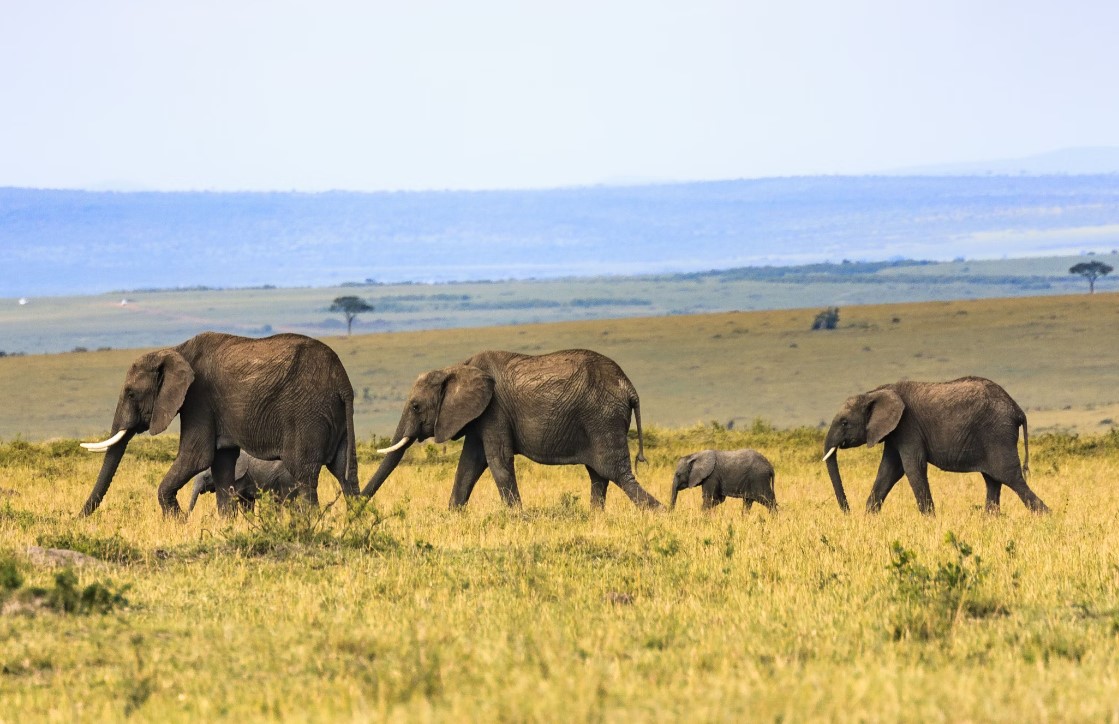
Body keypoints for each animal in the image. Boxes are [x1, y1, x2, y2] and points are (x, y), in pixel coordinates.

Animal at [78, 331, 358, 519]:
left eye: (131, 393)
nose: (78, 518)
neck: (175, 350)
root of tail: (342, 381)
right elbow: (222, 464)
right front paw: (227, 524)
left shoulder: (198, 399)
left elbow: (197, 457)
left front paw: (177, 523)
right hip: (335, 415)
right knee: (346, 472)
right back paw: (356, 522)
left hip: (307, 414)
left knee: (304, 474)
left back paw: (308, 525)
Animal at [362, 346, 662, 510]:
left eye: (415, 406)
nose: (356, 505)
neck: (457, 367)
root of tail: (630, 388)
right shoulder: (480, 415)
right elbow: (469, 465)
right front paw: (452, 515)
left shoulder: (494, 410)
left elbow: (497, 460)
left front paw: (518, 517)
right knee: (599, 475)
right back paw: (594, 517)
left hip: (602, 418)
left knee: (615, 472)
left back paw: (660, 513)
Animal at [823, 373, 1047, 514]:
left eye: (845, 422)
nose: (847, 512)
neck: (876, 392)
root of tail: (1018, 410)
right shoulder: (895, 432)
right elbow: (889, 470)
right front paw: (869, 517)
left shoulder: (908, 426)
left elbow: (912, 467)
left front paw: (929, 519)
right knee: (993, 480)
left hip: (998, 434)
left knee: (1010, 477)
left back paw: (1046, 516)